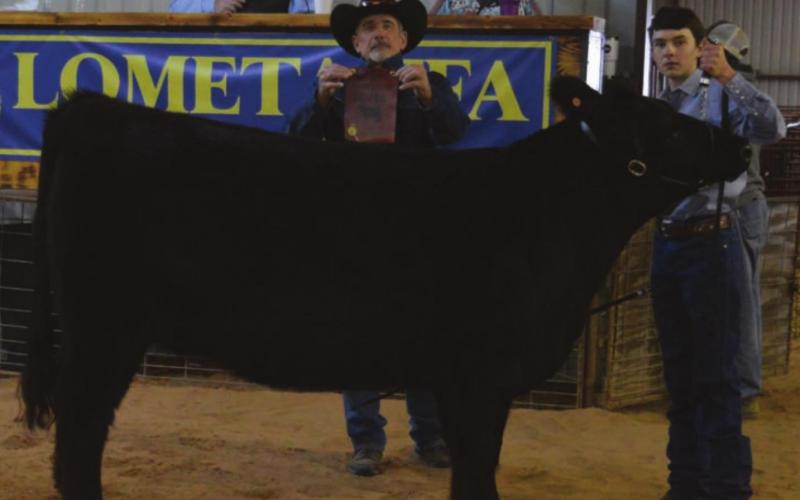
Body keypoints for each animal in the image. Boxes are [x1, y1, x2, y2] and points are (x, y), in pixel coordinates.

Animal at [19, 76, 750, 500]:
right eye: (673, 125)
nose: (742, 145)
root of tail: (92, 109)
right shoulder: (481, 376)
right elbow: (477, 474)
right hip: (102, 328)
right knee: (80, 431)